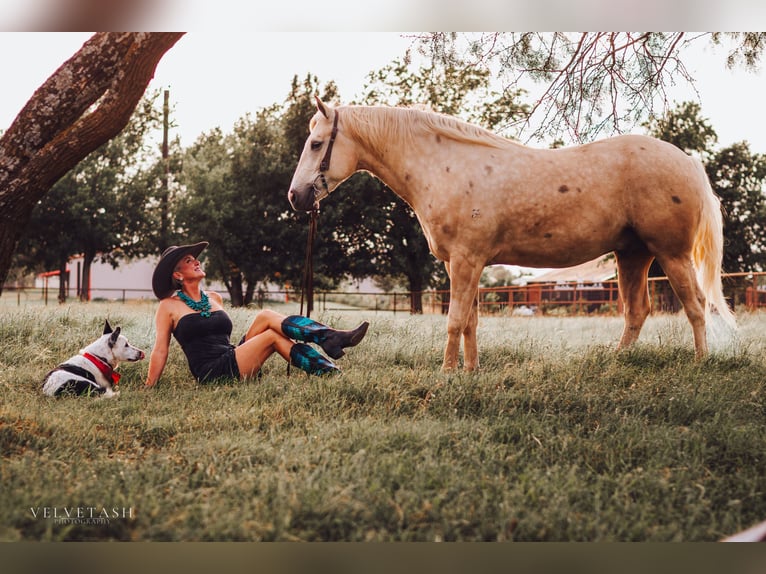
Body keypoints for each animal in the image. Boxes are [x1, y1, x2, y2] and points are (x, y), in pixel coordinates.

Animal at [288, 96, 736, 371]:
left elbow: (454, 321)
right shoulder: (462, 263)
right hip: (633, 255)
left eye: (316, 143)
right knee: (637, 311)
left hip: (671, 254)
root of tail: (688, 161)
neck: (445, 166)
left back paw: (699, 362)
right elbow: (470, 322)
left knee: (696, 307)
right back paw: (616, 361)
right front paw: (469, 372)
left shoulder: (467, 260)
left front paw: (446, 373)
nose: (295, 197)